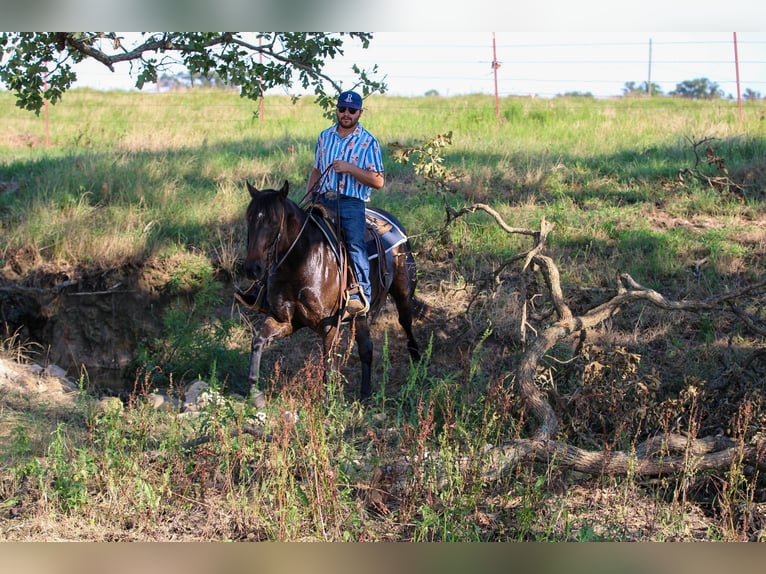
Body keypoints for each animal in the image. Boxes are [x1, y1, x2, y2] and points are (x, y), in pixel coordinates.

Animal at [243, 182, 424, 408]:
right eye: (249, 218)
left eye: (274, 221)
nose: (252, 269)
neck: (301, 261)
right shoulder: (285, 320)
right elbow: (257, 341)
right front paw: (255, 393)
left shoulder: (329, 326)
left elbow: (327, 364)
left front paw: (327, 403)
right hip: (361, 315)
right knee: (366, 349)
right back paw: (366, 393)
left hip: (403, 292)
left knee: (405, 321)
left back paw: (416, 358)